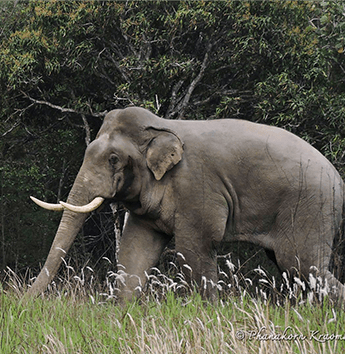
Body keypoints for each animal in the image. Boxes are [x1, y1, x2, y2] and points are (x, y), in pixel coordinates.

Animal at [28, 107, 344, 302]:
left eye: (113, 159)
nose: (24, 303)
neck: (163, 127)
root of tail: (337, 178)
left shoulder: (197, 186)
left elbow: (195, 248)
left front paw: (208, 312)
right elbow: (135, 249)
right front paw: (123, 312)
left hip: (310, 207)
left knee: (301, 265)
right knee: (294, 270)